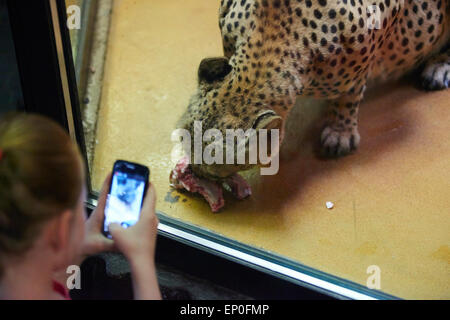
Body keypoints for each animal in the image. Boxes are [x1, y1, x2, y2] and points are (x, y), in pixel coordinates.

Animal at [178, 0, 448, 179]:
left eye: (215, 161)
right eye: (186, 136)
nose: (195, 171)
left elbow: (350, 94)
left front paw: (341, 132)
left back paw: (439, 67)